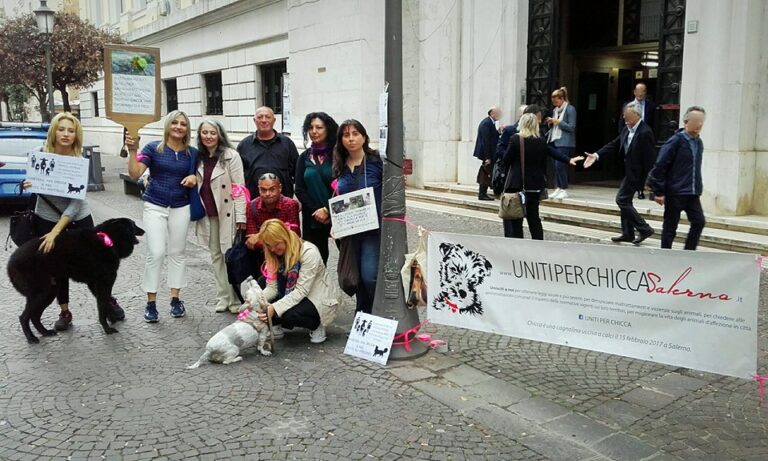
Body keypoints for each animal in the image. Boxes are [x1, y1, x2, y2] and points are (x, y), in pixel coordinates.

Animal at [8, 217, 145, 344]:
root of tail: (10, 263)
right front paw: (107, 328)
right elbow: (103, 306)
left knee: (35, 316)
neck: (109, 237)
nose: (143, 230)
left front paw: (111, 319)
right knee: (24, 317)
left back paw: (45, 332)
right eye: (133, 225)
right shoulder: (103, 283)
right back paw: (31, 337)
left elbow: (106, 304)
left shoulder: (94, 285)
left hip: (49, 292)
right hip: (42, 293)